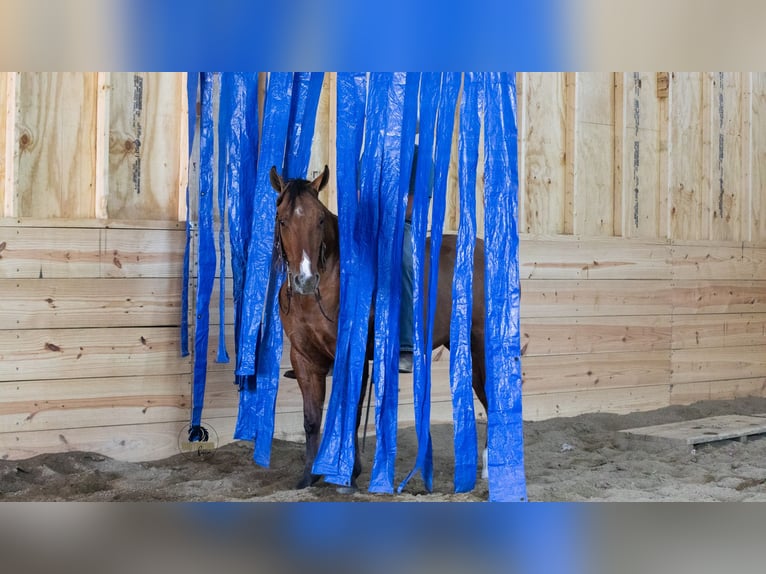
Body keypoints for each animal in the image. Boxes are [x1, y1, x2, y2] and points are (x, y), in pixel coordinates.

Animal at [270, 165, 487, 490]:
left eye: (319, 219)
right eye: (282, 219)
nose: (306, 280)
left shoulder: (354, 357)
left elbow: (351, 413)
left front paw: (347, 475)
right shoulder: (304, 358)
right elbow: (311, 419)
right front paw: (308, 477)